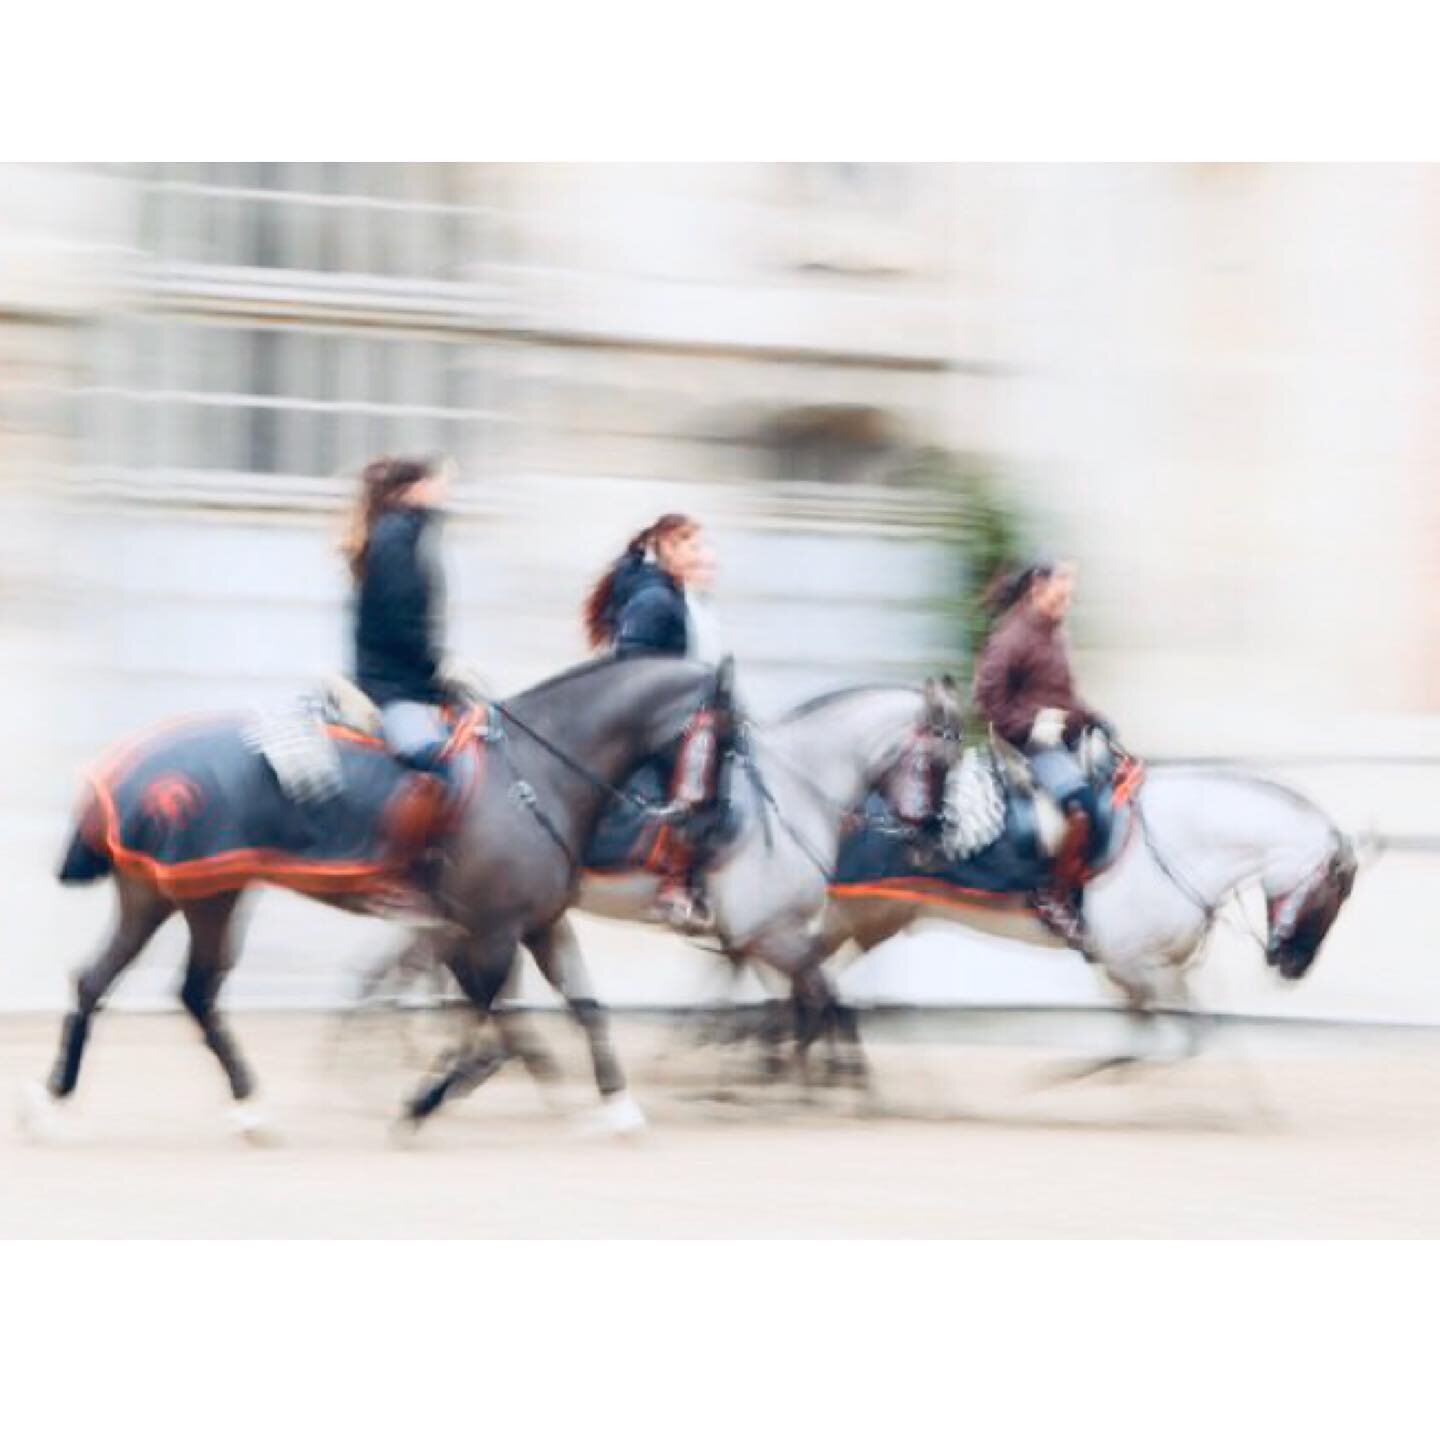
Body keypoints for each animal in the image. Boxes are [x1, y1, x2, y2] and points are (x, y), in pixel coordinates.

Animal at [16, 659, 725, 1140]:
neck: (534, 776)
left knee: (127, 984)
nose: (707, 826)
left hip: (174, 894)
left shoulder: (536, 924)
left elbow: (583, 1005)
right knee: (166, 989)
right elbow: (485, 1010)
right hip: (199, 894)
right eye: (727, 737)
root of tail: (122, 769)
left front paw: (616, 1106)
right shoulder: (490, 928)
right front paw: (425, 1100)